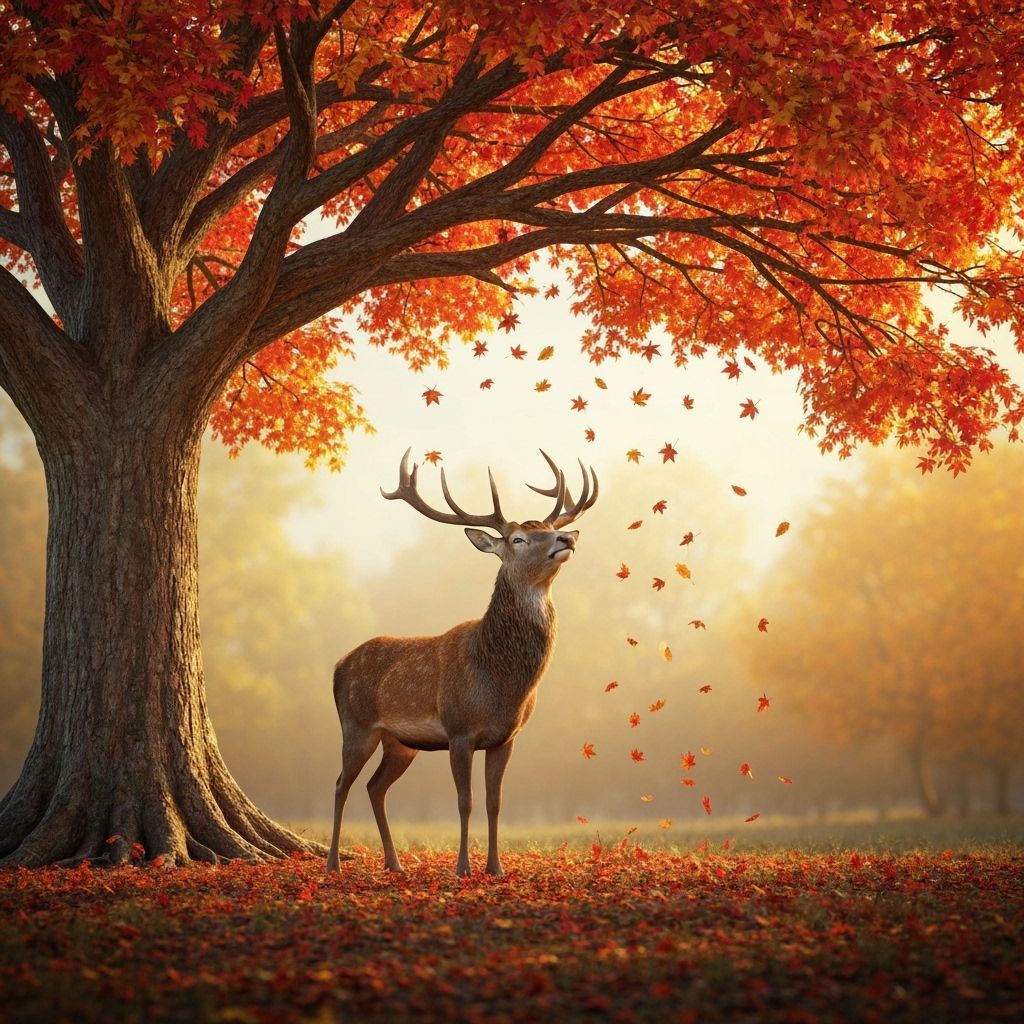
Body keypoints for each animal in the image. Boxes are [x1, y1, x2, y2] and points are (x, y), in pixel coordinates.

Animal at [326, 448, 598, 877]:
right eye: (518, 538)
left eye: (548, 528)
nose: (566, 537)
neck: (500, 680)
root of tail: (338, 665)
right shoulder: (459, 729)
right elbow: (464, 801)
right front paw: (463, 868)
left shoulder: (506, 737)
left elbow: (494, 802)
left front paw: (496, 867)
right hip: (356, 724)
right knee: (341, 784)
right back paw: (334, 863)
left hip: (400, 742)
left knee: (375, 786)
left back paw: (394, 864)